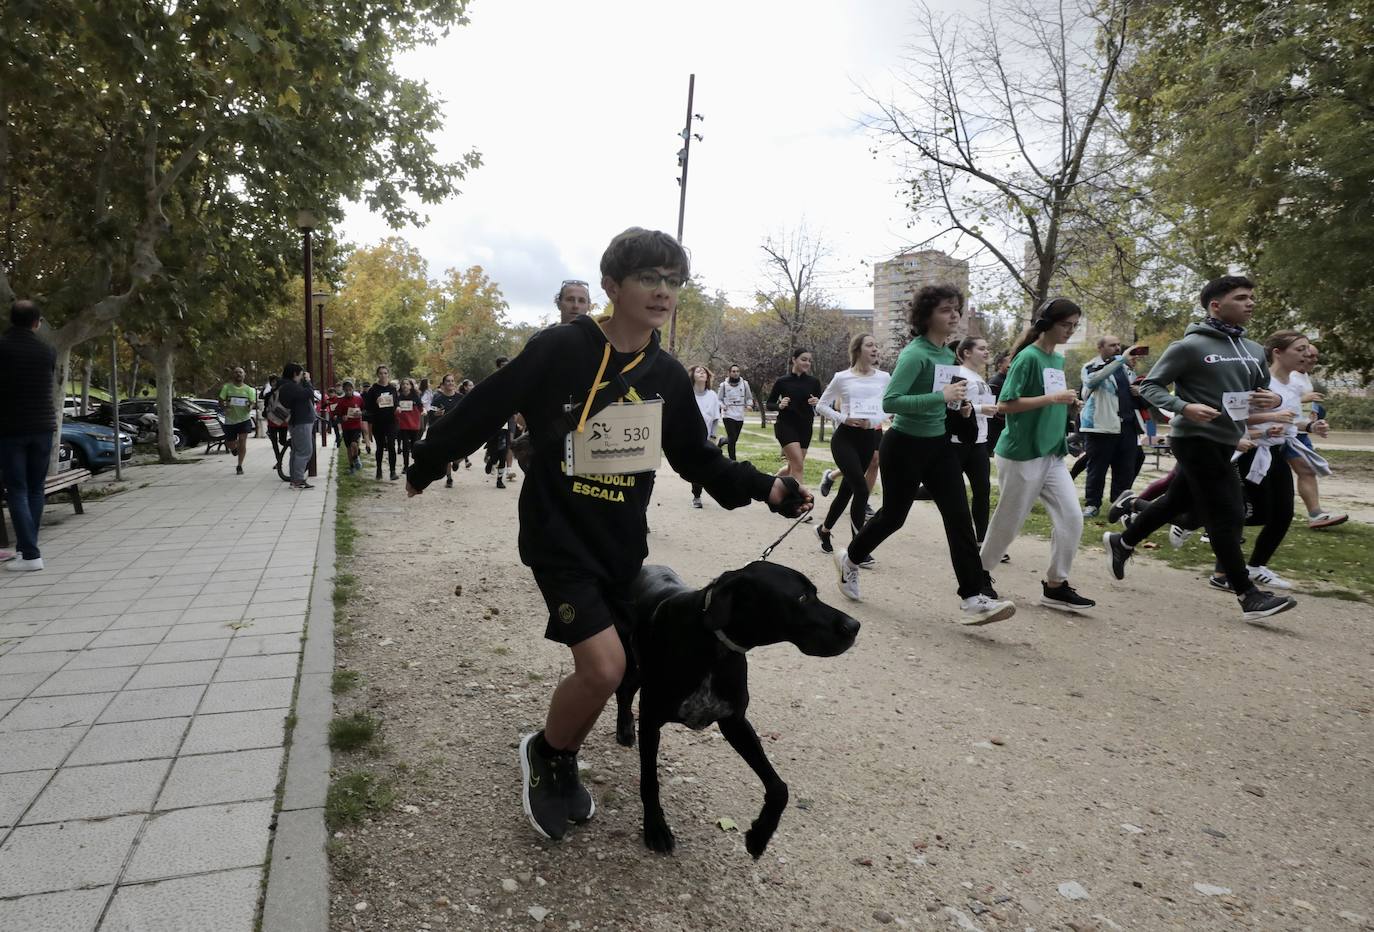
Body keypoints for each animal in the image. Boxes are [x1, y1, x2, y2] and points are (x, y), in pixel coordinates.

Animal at [621, 563, 857, 863]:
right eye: (802, 597)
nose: (855, 626)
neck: (714, 645)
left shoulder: (735, 722)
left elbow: (780, 789)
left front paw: (759, 835)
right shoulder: (652, 720)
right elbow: (650, 781)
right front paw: (655, 827)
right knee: (623, 688)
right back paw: (624, 729)